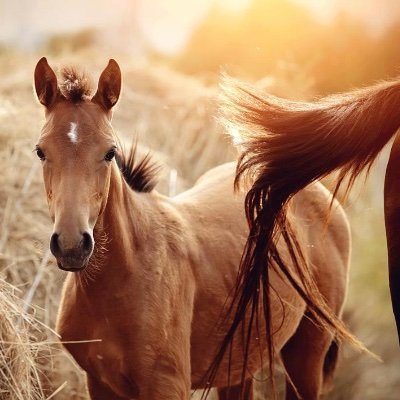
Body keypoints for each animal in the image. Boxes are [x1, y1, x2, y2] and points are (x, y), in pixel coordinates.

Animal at [35, 57, 350, 398]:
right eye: (40, 151)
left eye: (110, 153)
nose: (71, 245)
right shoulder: (99, 382)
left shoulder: (167, 384)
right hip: (239, 361)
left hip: (306, 354)